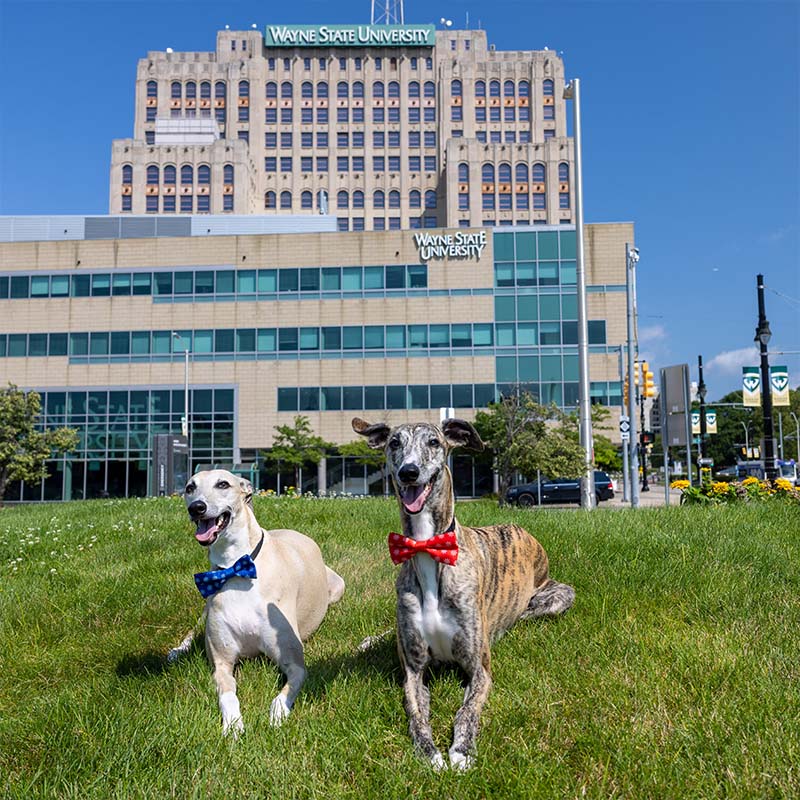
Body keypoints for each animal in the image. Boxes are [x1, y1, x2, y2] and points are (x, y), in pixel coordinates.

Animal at [169, 468, 344, 736]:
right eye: (190, 487)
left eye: (223, 484)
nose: (197, 507)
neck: (236, 569)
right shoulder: (221, 664)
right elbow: (228, 694)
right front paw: (233, 724)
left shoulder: (296, 665)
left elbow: (285, 691)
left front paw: (277, 715)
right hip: (206, 606)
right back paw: (178, 650)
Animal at [354, 416, 572, 772]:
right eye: (394, 443)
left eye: (434, 442)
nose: (409, 472)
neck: (428, 549)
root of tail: (521, 529)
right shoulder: (413, 672)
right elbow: (416, 715)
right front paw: (429, 752)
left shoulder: (479, 669)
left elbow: (466, 711)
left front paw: (461, 750)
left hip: (559, 595)